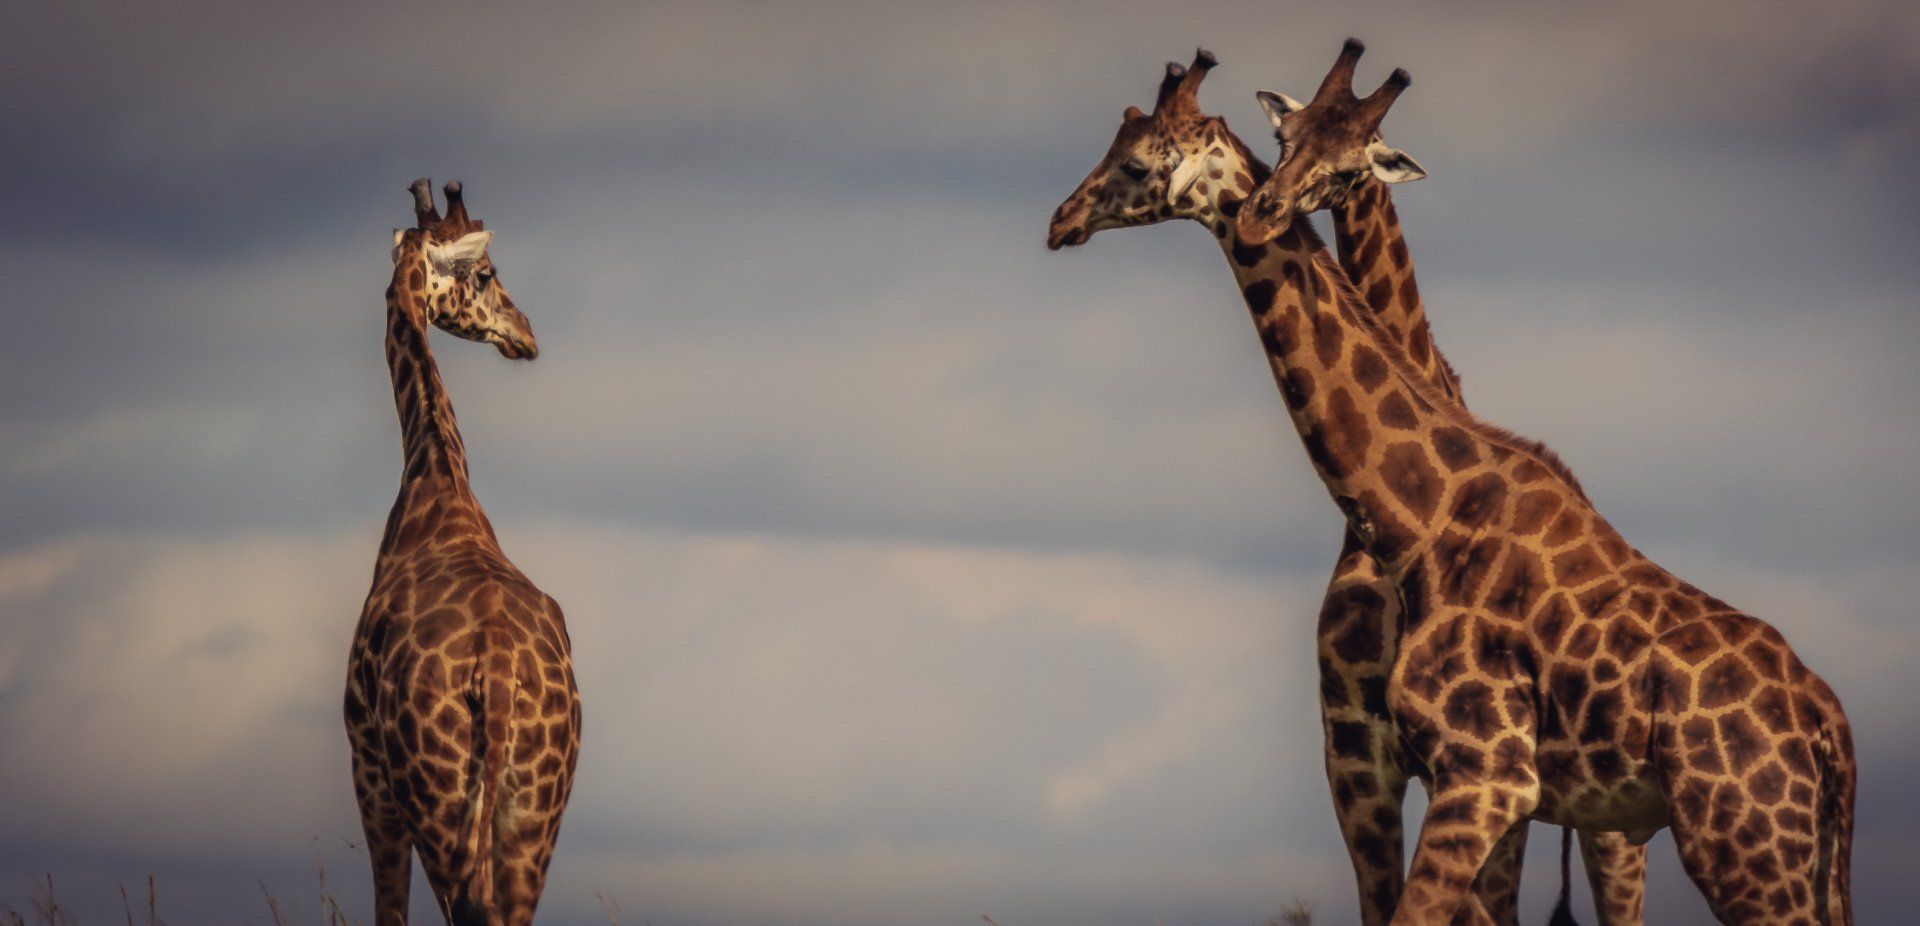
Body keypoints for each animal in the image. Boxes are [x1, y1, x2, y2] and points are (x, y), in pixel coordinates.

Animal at [345, 179, 582, 926]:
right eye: (485, 274)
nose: (526, 334)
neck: (437, 477)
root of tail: (498, 669)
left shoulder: (365, 759)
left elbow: (388, 909)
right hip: (535, 809)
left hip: (435, 796)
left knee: (468, 906)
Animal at [1212, 45, 1854, 925]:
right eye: (1287, 137)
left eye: (1349, 170)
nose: (1263, 210)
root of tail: (1828, 720)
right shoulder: (1361, 746)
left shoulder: (1461, 764)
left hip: (1656, 831)